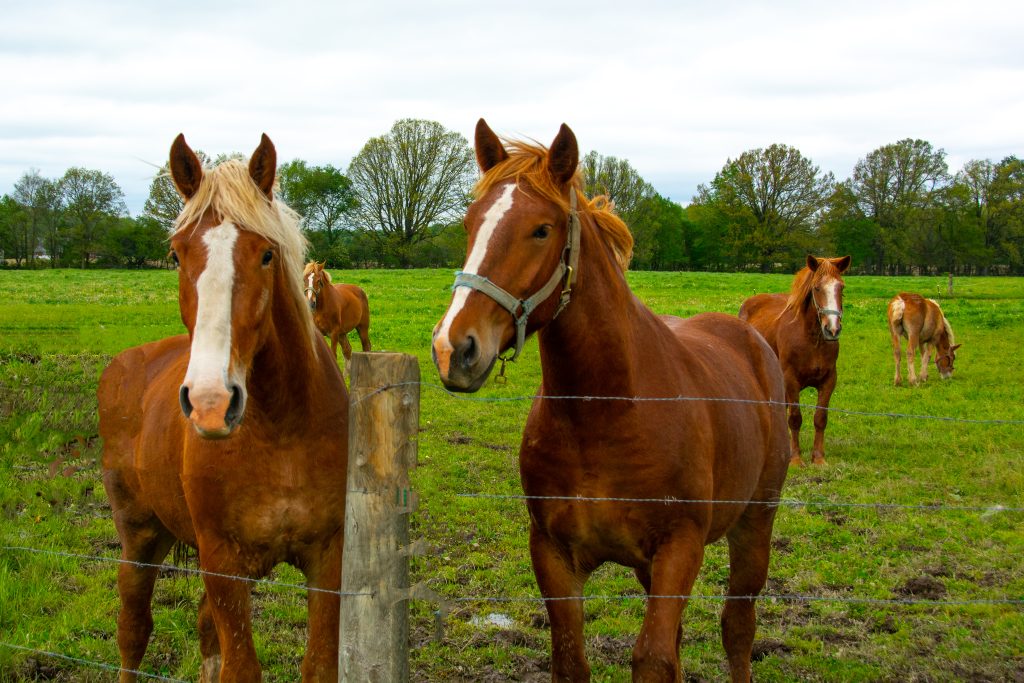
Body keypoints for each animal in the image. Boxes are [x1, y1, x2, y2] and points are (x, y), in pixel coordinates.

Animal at [99, 135, 348, 683]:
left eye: (267, 254)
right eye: (176, 255)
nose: (211, 403)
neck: (280, 432)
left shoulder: (328, 556)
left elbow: (318, 663)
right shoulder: (221, 560)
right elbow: (240, 668)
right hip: (140, 538)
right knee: (132, 630)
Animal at [428, 118, 786, 683]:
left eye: (542, 229)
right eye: (470, 224)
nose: (453, 348)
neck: (605, 411)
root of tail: (751, 337)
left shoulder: (679, 549)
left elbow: (654, 658)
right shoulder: (554, 554)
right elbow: (573, 660)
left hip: (755, 522)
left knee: (737, 627)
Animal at [741, 253, 851, 466]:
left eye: (841, 287)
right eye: (817, 288)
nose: (832, 329)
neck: (811, 339)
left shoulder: (828, 380)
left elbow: (820, 417)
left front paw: (818, 458)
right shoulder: (791, 380)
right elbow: (795, 418)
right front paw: (796, 459)